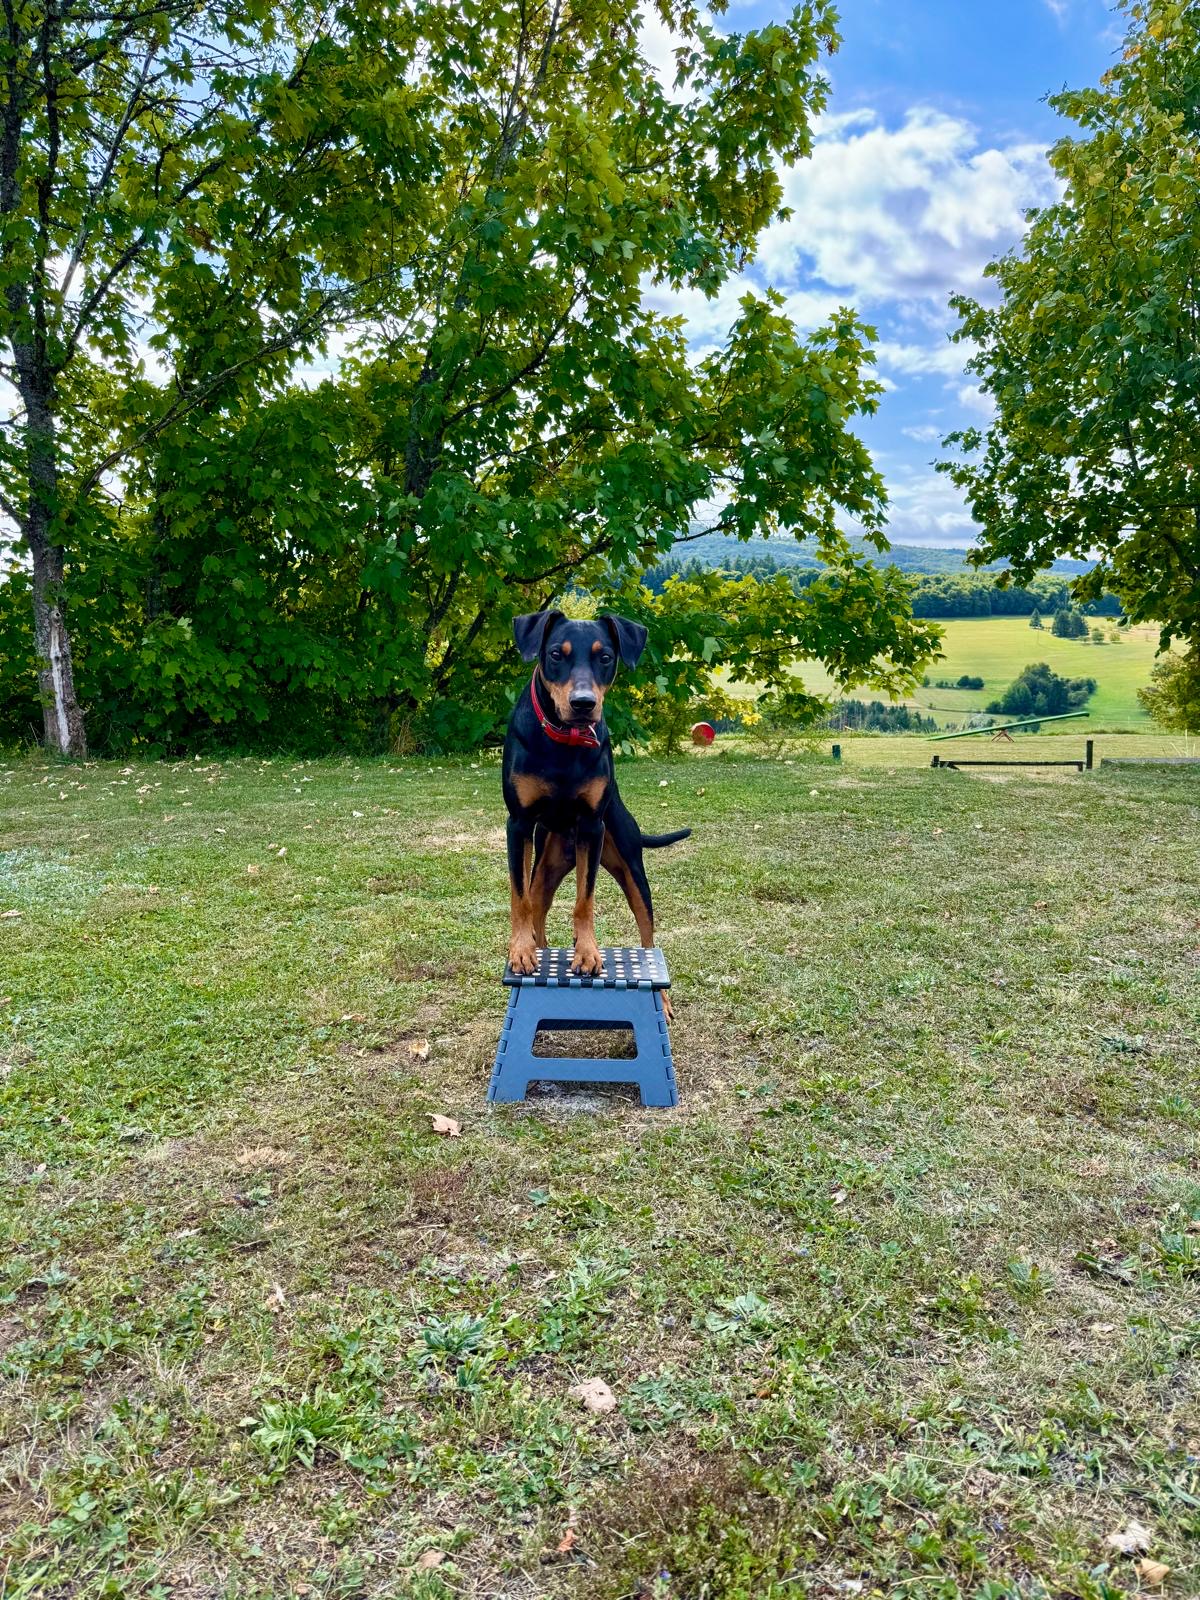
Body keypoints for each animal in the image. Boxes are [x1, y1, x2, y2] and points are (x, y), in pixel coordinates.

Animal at [503, 610, 690, 977]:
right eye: (556, 654)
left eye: (605, 657)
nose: (583, 703)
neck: (564, 742)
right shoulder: (518, 824)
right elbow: (520, 898)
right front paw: (520, 950)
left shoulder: (592, 827)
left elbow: (584, 899)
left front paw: (587, 951)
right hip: (546, 863)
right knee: (537, 904)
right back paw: (536, 944)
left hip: (628, 864)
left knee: (647, 932)